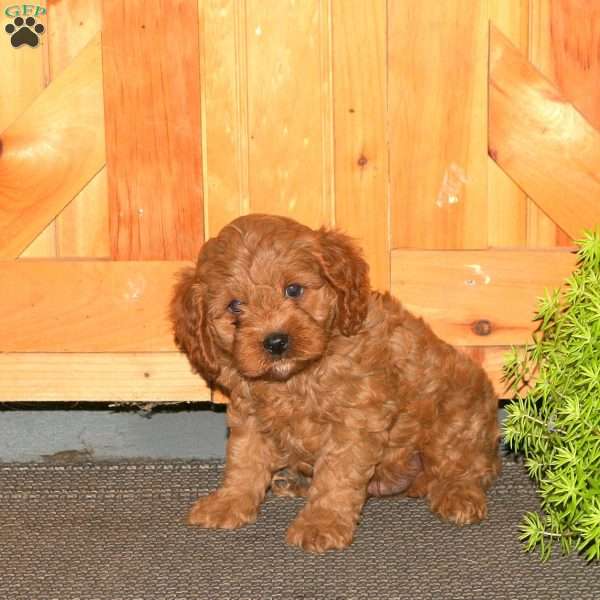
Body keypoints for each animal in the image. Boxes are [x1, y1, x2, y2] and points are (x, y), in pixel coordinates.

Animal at [172, 214, 502, 552]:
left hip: (454, 414)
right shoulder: (249, 413)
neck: (296, 378)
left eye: (293, 290)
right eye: (235, 306)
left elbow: (336, 475)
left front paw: (321, 522)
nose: (276, 342)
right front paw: (229, 502)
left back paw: (458, 494)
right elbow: (243, 460)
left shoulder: (355, 419)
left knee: (465, 464)